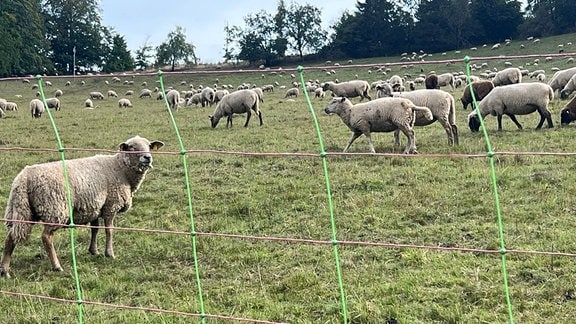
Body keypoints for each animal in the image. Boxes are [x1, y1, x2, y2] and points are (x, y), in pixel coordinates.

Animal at [0, 135, 164, 278]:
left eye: (149, 146)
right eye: (132, 147)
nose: (147, 158)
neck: (121, 169)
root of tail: (23, 178)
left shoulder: (95, 207)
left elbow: (95, 229)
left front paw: (93, 251)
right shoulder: (110, 205)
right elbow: (109, 231)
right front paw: (109, 254)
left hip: (22, 210)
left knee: (11, 237)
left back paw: (5, 270)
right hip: (55, 209)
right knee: (46, 237)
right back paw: (56, 266)